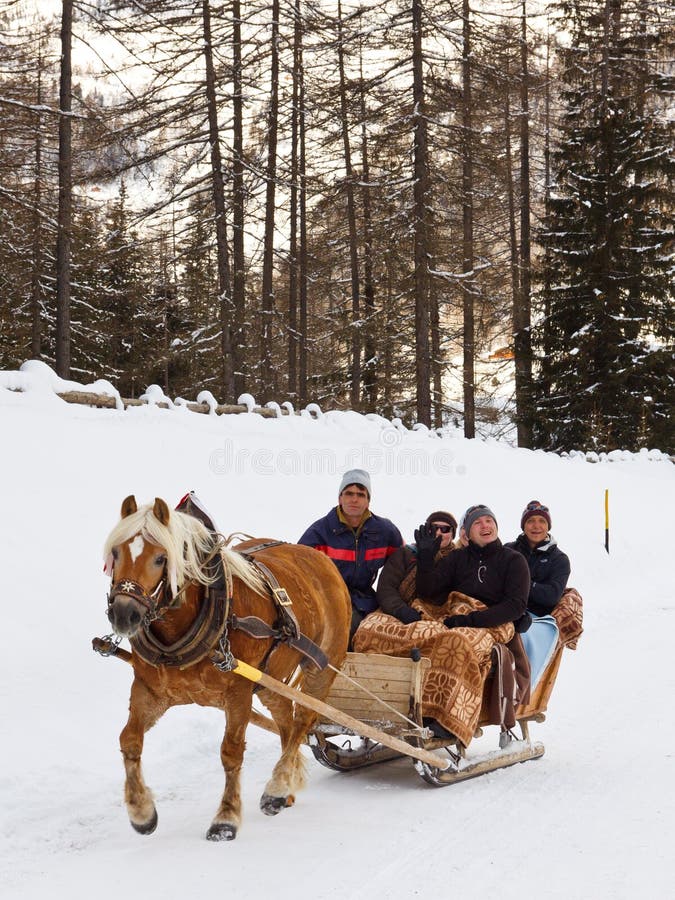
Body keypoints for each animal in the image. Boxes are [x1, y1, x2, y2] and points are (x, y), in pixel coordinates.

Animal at [104, 496, 354, 840]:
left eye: (160, 558)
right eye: (116, 553)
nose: (123, 614)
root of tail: (322, 560)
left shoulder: (238, 693)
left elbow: (231, 752)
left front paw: (226, 817)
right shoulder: (150, 689)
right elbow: (129, 739)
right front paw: (141, 811)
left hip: (321, 667)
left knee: (304, 720)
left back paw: (277, 788)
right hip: (270, 679)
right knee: (288, 723)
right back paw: (286, 786)